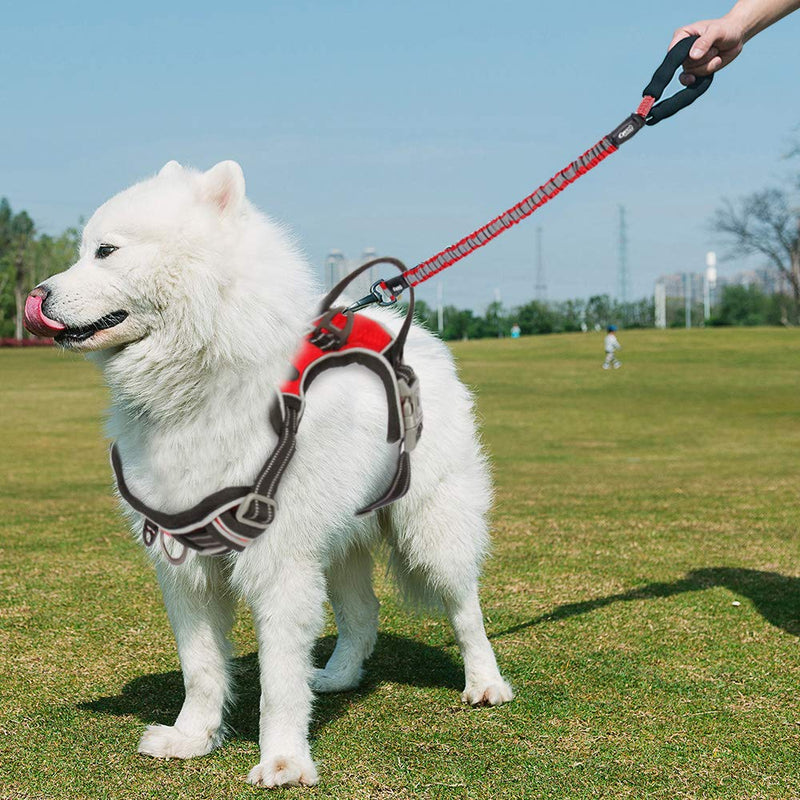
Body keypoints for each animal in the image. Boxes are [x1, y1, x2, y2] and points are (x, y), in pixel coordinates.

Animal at [28, 161, 512, 788]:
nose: (35, 297)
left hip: (431, 526)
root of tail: (408, 329)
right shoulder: (187, 566)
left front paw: (283, 760)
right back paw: (337, 676)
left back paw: (485, 683)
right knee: (363, 612)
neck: (205, 383)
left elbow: (277, 681)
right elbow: (201, 668)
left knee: (465, 606)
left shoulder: (279, 562)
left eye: (105, 251)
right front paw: (192, 739)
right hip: (339, 539)